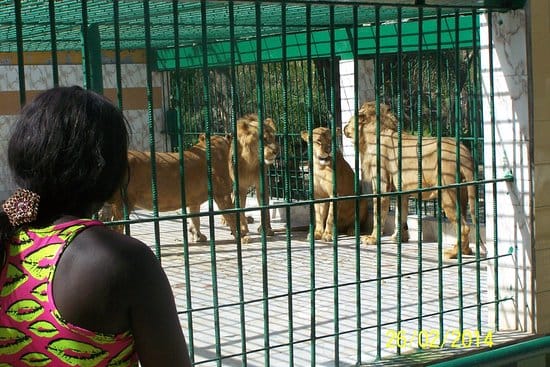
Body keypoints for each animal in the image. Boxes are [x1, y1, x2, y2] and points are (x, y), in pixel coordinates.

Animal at [99, 134, 246, 244]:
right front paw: (242, 235)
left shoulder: (194, 200)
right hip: (123, 202)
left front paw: (198, 236)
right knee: (117, 226)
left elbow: (195, 219)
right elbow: (231, 215)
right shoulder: (223, 194)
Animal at [344, 102, 488, 260]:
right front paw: (399, 238)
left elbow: (379, 215)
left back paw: (453, 253)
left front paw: (372, 239)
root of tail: (463, 151)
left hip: (447, 193)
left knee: (464, 226)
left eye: (350, 120)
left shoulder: (381, 186)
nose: (344, 127)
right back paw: (465, 250)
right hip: (462, 193)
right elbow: (400, 215)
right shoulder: (401, 190)